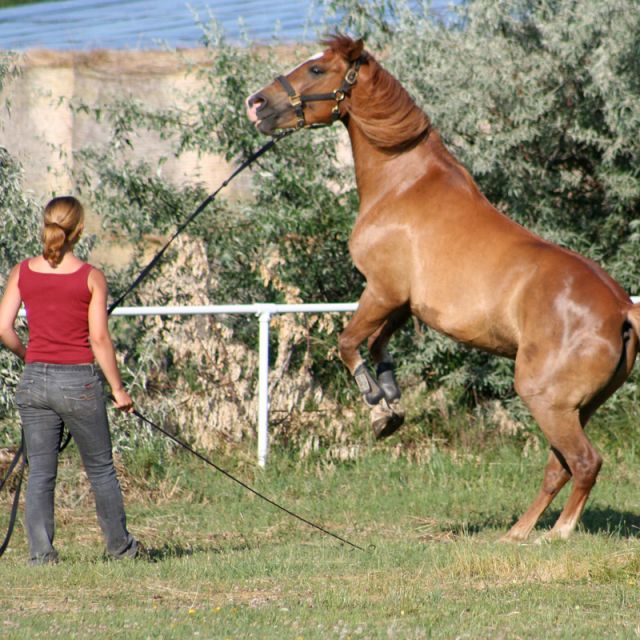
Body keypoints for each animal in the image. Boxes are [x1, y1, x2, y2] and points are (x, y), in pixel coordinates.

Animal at [246, 35, 640, 540]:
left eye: (316, 69)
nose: (258, 104)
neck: (404, 185)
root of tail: (621, 308)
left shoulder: (382, 291)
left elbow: (348, 342)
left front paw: (378, 409)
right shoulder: (401, 304)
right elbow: (378, 345)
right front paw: (391, 398)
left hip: (547, 401)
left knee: (584, 462)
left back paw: (557, 534)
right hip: (577, 408)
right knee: (560, 467)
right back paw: (518, 533)